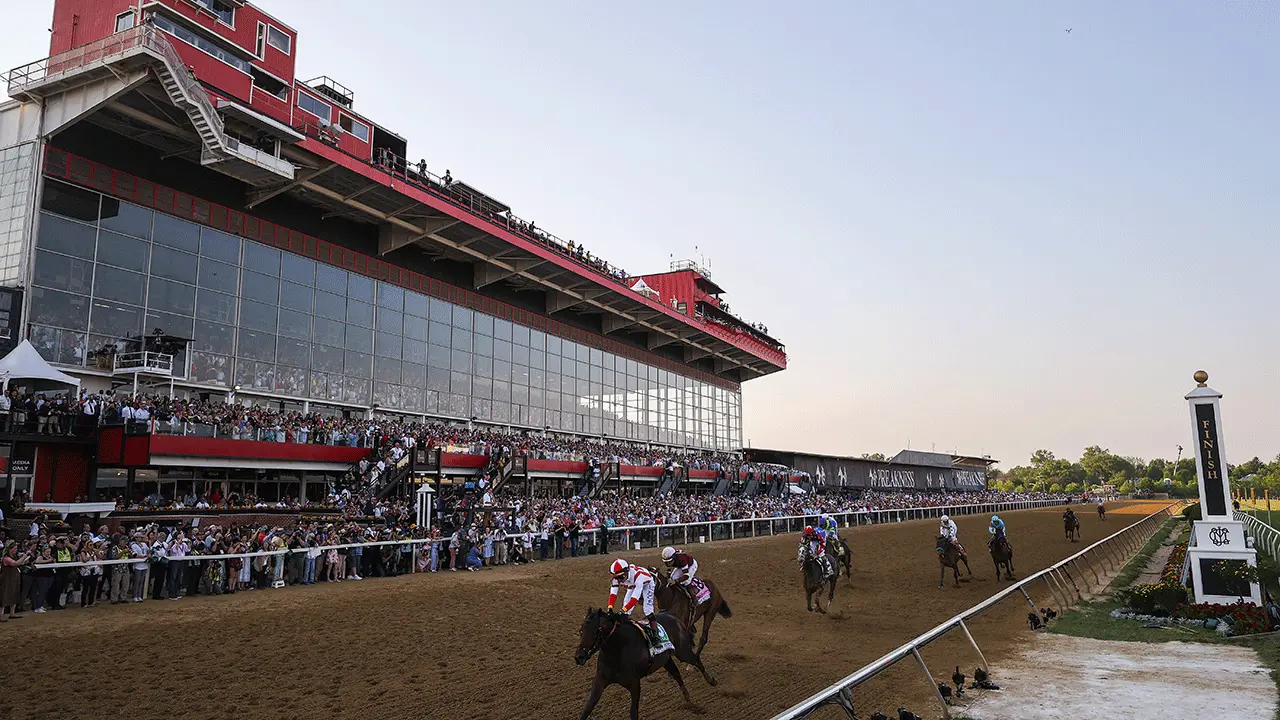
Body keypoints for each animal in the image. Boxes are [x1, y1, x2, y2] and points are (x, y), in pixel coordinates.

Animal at [576, 604, 716, 717]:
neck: (618, 649)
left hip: (683, 653)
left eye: (595, 632)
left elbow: (633, 712)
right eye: (581, 630)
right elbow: (587, 708)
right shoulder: (600, 679)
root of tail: (674, 617)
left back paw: (711, 680)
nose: (579, 657)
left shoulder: (634, 684)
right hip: (666, 660)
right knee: (676, 673)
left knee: (696, 660)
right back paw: (687, 698)